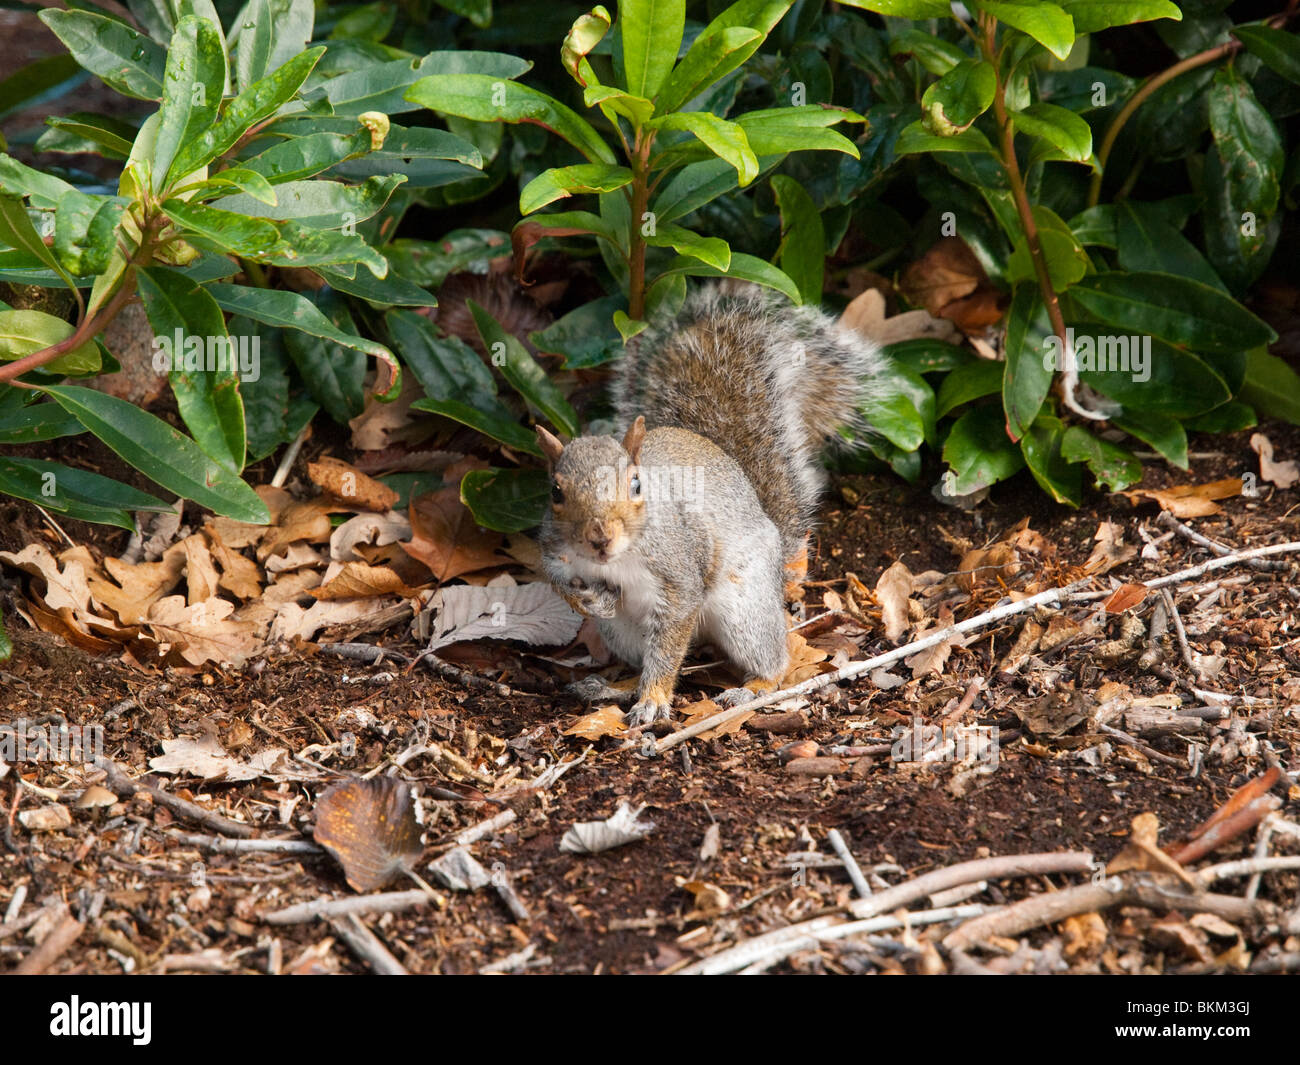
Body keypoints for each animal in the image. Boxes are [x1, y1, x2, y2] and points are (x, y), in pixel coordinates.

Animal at [535, 281, 884, 727]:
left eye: (635, 485)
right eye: (555, 492)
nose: (600, 539)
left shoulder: (679, 571)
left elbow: (673, 635)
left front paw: (654, 699)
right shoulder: (556, 553)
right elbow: (557, 582)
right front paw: (589, 601)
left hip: (744, 608)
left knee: (769, 657)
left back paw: (753, 686)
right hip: (626, 633)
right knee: (645, 656)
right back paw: (615, 685)